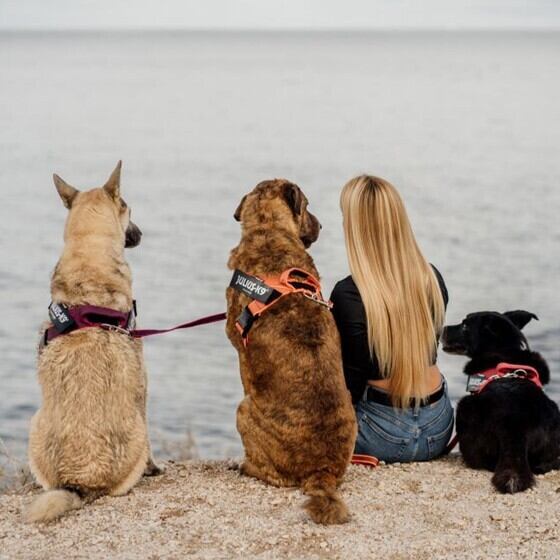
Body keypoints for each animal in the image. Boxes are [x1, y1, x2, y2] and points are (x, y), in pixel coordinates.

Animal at [27, 162, 161, 523]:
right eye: (129, 208)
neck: (89, 257)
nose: (141, 234)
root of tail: (81, 481)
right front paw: (155, 467)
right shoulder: (143, 378)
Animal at [226, 179, 357, 524]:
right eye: (308, 206)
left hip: (243, 410)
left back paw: (242, 465)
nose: (321, 226)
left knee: (269, 474)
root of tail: (321, 470)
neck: (269, 230)